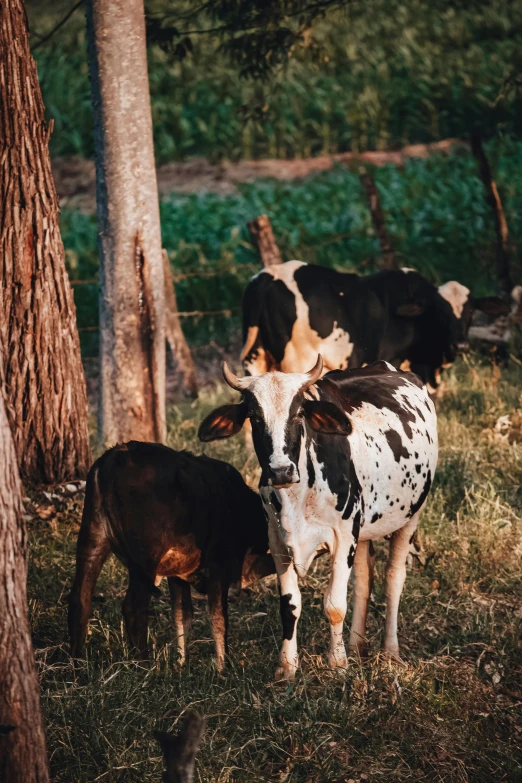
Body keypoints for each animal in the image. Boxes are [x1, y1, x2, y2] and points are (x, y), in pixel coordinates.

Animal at [67, 444, 274, 672]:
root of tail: (113, 457)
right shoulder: (218, 565)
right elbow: (218, 618)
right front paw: (223, 667)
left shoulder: (178, 573)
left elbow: (182, 616)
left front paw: (182, 663)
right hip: (146, 557)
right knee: (134, 607)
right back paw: (144, 667)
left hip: (92, 538)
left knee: (80, 600)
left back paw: (77, 664)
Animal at [197, 356, 436, 680]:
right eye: (254, 417)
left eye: (299, 413)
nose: (281, 471)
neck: (298, 496)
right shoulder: (278, 541)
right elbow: (290, 606)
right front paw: (287, 666)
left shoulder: (344, 535)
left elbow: (335, 605)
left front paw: (337, 664)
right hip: (363, 530)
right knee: (364, 578)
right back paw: (357, 647)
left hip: (411, 515)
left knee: (393, 577)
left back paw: (390, 651)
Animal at [240, 260, 500, 388]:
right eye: (440, 311)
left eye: (470, 312)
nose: (461, 346)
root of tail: (269, 275)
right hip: (297, 363)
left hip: (255, 360)